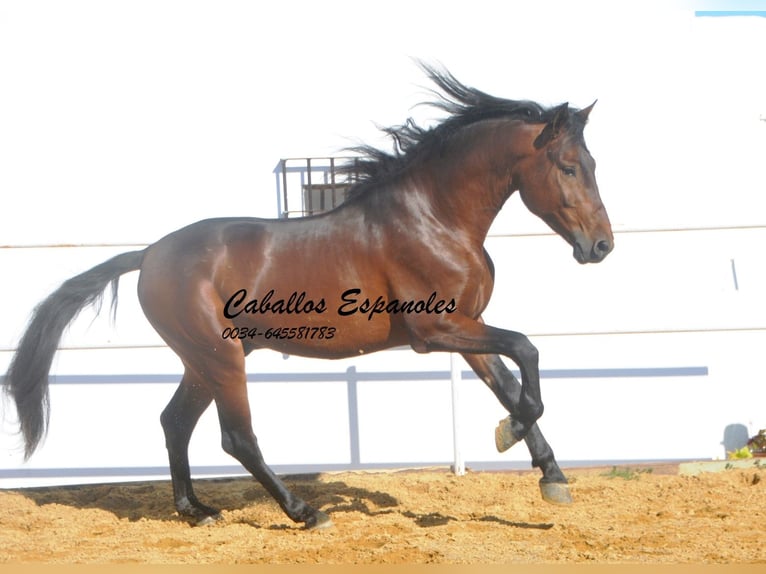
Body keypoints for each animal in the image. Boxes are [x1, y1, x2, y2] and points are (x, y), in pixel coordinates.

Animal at [1, 66, 612, 532]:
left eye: (592, 165)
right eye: (568, 167)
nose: (601, 245)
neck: (434, 218)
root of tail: (149, 254)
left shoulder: (469, 325)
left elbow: (509, 383)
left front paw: (552, 477)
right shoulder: (437, 332)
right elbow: (527, 353)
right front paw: (511, 436)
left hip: (204, 361)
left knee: (175, 422)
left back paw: (198, 511)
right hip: (222, 358)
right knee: (236, 437)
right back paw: (305, 512)